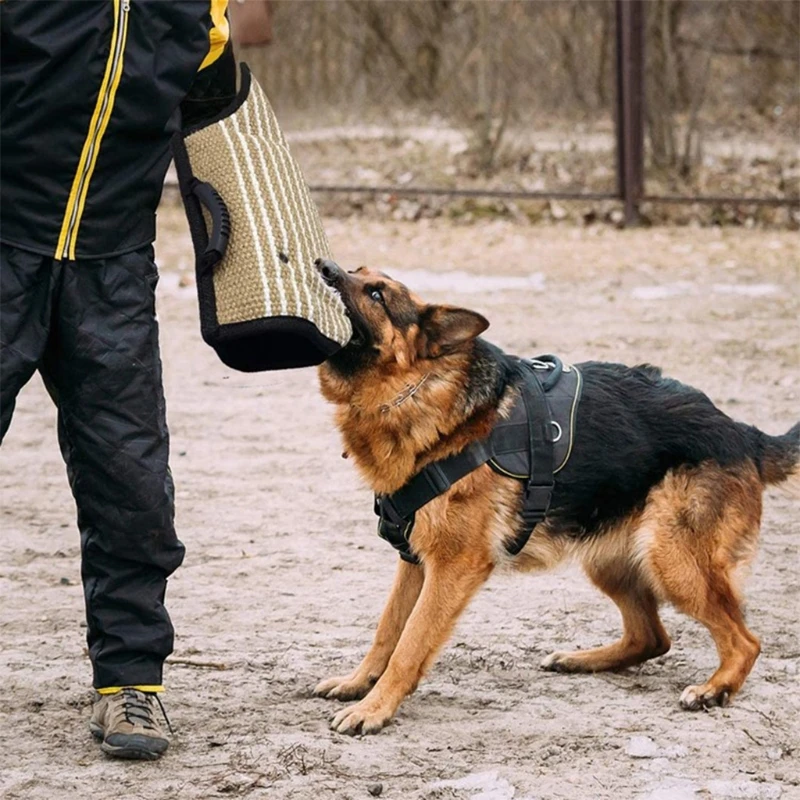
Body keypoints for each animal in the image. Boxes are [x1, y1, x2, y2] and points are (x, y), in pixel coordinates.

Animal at [314, 262, 800, 736]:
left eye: (377, 294)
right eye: (358, 271)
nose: (323, 266)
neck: (422, 386)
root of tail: (739, 430)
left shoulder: (453, 566)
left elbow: (410, 641)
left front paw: (374, 708)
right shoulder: (414, 561)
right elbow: (387, 629)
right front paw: (359, 683)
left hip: (674, 562)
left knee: (745, 642)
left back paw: (714, 689)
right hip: (611, 562)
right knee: (652, 637)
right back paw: (582, 660)